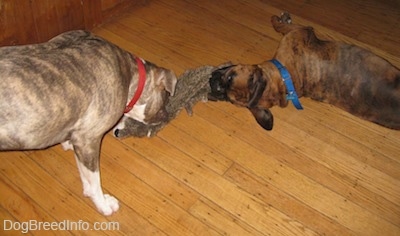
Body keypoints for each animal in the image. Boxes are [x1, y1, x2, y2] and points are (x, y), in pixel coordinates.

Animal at [209, 12, 400, 130]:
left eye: (230, 76)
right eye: (229, 99)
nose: (212, 83)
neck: (286, 82)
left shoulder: (300, 31)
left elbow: (279, 25)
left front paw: (278, 19)